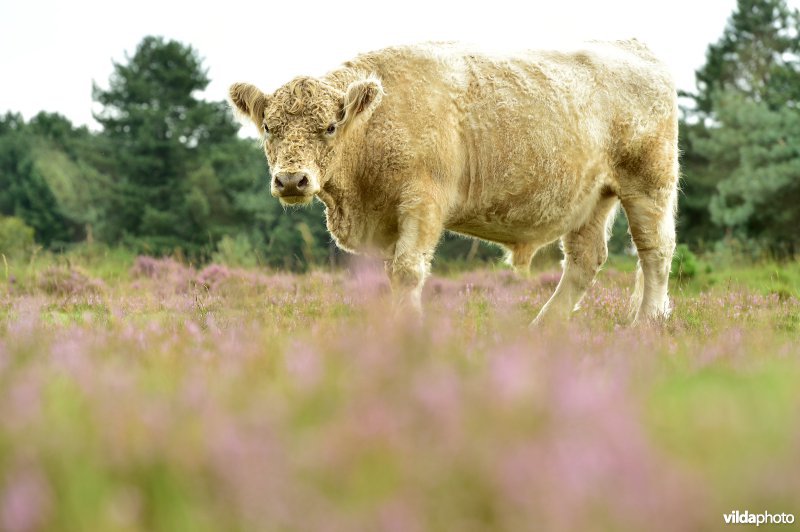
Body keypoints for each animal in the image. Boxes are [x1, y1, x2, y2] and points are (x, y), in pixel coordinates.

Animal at [231, 40, 680, 324]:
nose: (292, 179)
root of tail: (632, 46)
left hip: (648, 183)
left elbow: (407, 271)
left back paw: (647, 322)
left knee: (655, 250)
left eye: (329, 126)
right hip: (591, 198)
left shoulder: (423, 201)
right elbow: (381, 278)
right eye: (269, 127)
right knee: (585, 260)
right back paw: (545, 326)